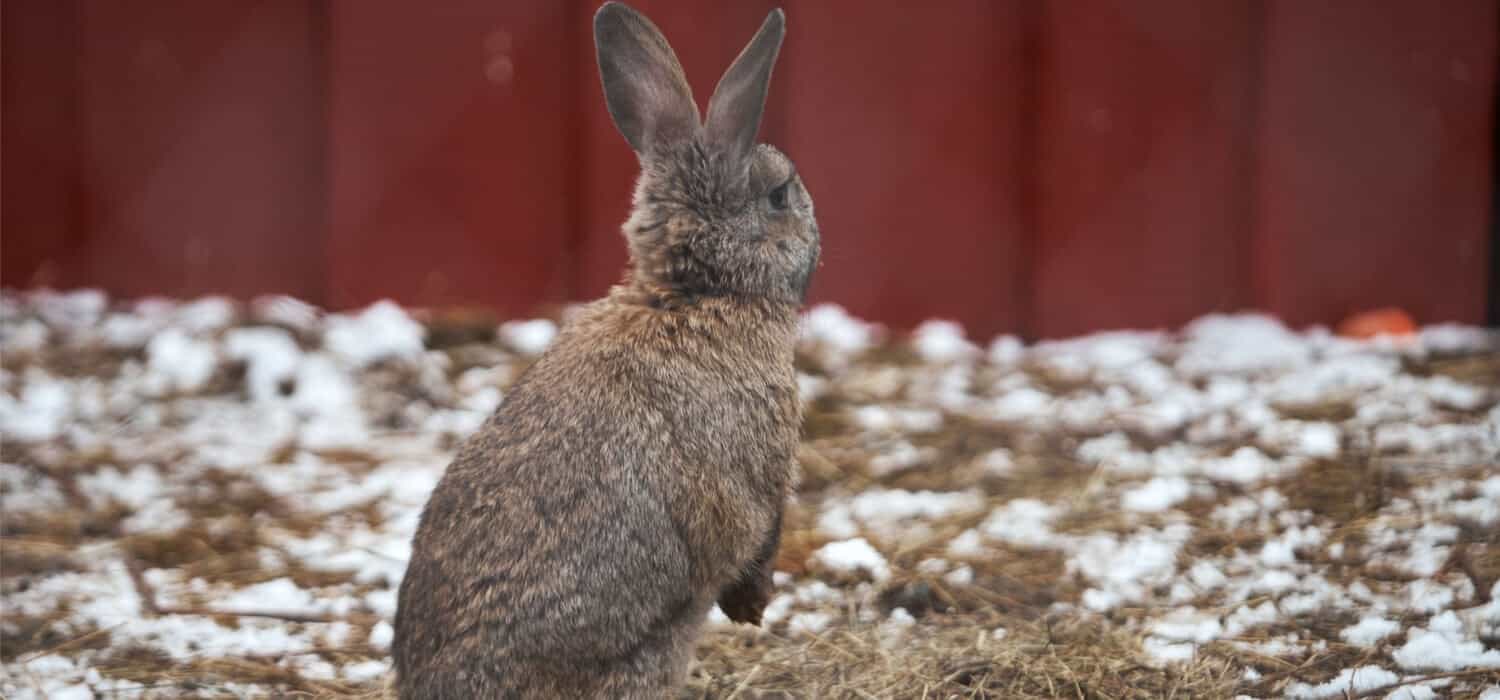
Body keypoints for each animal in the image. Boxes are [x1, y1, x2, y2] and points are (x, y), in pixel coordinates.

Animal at [393, 2, 822, 698]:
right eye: (780, 195)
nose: (814, 224)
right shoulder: (763, 467)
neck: (694, 292)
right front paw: (753, 608)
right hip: (647, 658)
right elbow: (757, 533)